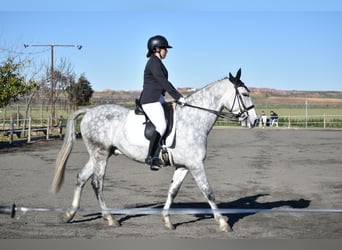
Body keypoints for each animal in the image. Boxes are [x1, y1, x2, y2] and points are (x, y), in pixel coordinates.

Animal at [51, 69, 256, 232]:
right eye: (245, 94)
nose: (253, 121)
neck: (193, 119)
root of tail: (89, 111)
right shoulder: (196, 165)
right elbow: (209, 192)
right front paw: (223, 223)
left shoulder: (184, 166)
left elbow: (173, 191)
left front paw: (167, 221)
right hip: (100, 154)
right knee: (97, 183)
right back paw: (110, 218)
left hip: (98, 154)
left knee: (81, 178)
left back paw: (70, 214)